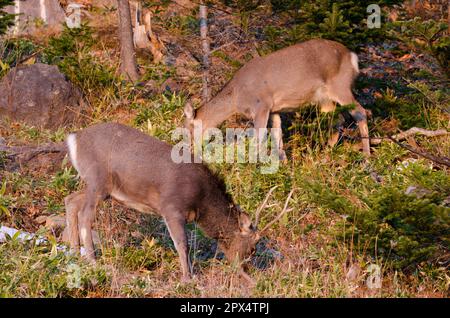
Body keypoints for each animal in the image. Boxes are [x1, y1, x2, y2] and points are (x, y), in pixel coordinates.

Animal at [63, 123, 288, 282]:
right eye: (252, 247)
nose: (247, 271)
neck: (201, 202)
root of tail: (74, 138)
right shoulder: (171, 207)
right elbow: (182, 244)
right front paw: (188, 278)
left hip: (101, 188)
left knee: (70, 200)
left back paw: (74, 252)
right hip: (98, 180)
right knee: (85, 215)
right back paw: (92, 259)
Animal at [185, 39, 370, 159]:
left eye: (189, 128)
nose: (189, 149)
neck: (237, 97)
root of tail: (352, 56)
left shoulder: (261, 105)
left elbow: (259, 137)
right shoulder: (274, 110)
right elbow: (277, 134)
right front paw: (283, 165)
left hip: (341, 86)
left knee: (360, 112)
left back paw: (366, 159)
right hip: (324, 99)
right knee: (337, 119)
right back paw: (325, 155)